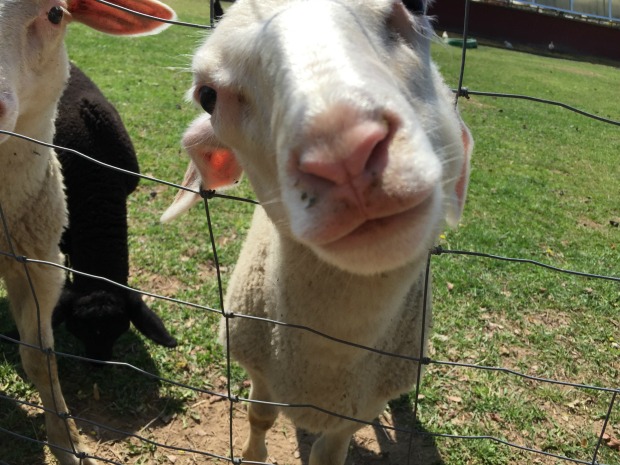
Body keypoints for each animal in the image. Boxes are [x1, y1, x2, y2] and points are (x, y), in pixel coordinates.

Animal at [162, 0, 472, 464]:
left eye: (415, 7)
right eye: (208, 96)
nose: (342, 154)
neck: (328, 358)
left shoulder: (355, 410)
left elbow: (331, 452)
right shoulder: (262, 370)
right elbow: (259, 418)